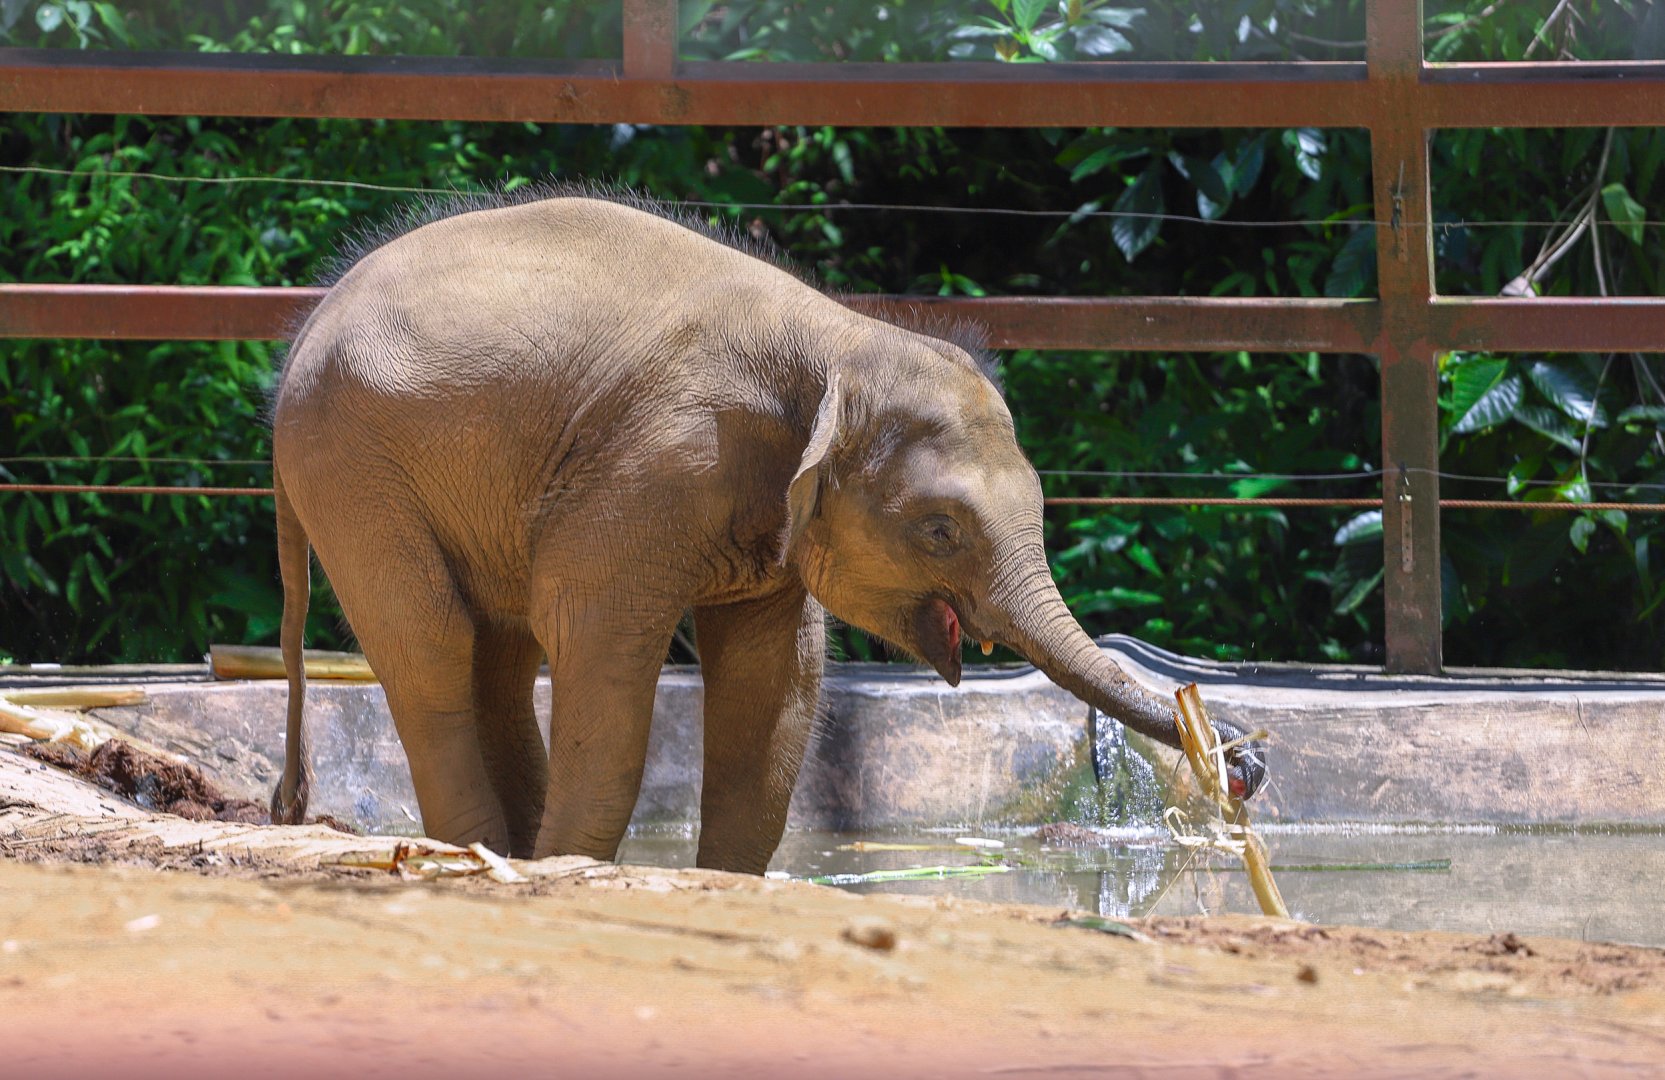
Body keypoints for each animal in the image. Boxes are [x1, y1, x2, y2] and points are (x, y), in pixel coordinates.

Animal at [268, 187, 1266, 874]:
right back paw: (479, 855)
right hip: (352, 468)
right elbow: (600, 645)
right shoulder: (651, 468)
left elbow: (776, 678)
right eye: (940, 531)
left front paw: (717, 880)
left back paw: (499, 854)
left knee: (499, 654)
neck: (839, 342)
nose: (1242, 758)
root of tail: (303, 332)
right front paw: (575, 869)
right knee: (433, 642)